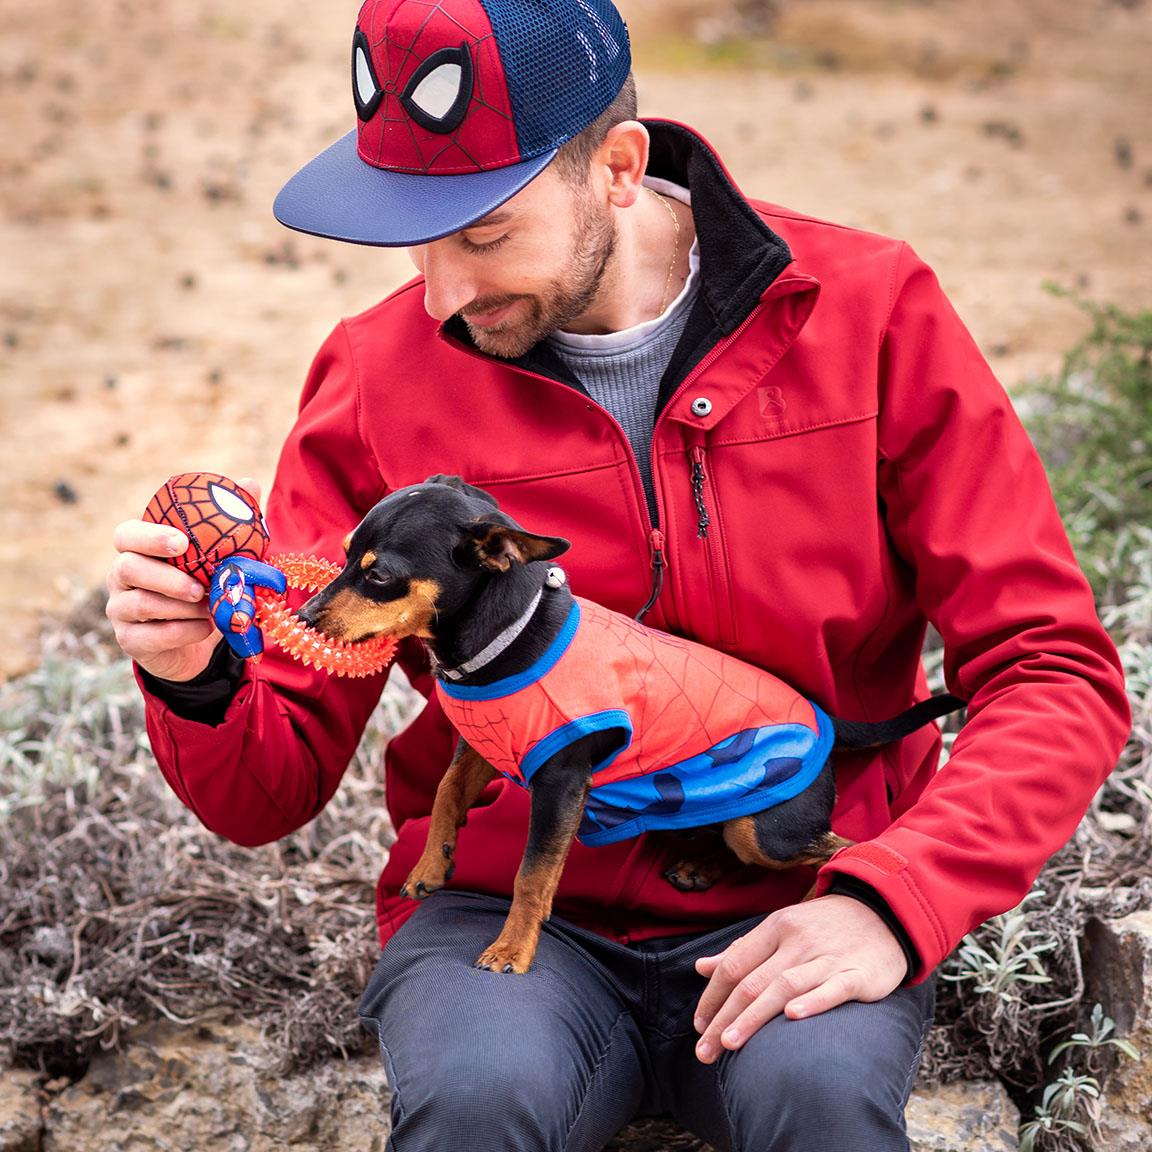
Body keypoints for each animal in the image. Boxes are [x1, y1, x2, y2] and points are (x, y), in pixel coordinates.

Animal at [299, 474, 963, 972]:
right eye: (345, 554)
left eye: (379, 575)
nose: (303, 616)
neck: (500, 639)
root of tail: (827, 718)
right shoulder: (484, 747)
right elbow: (443, 794)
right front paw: (429, 867)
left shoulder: (560, 783)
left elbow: (531, 875)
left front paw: (512, 949)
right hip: (735, 812)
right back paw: (701, 864)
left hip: (770, 829)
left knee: (845, 846)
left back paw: (812, 898)